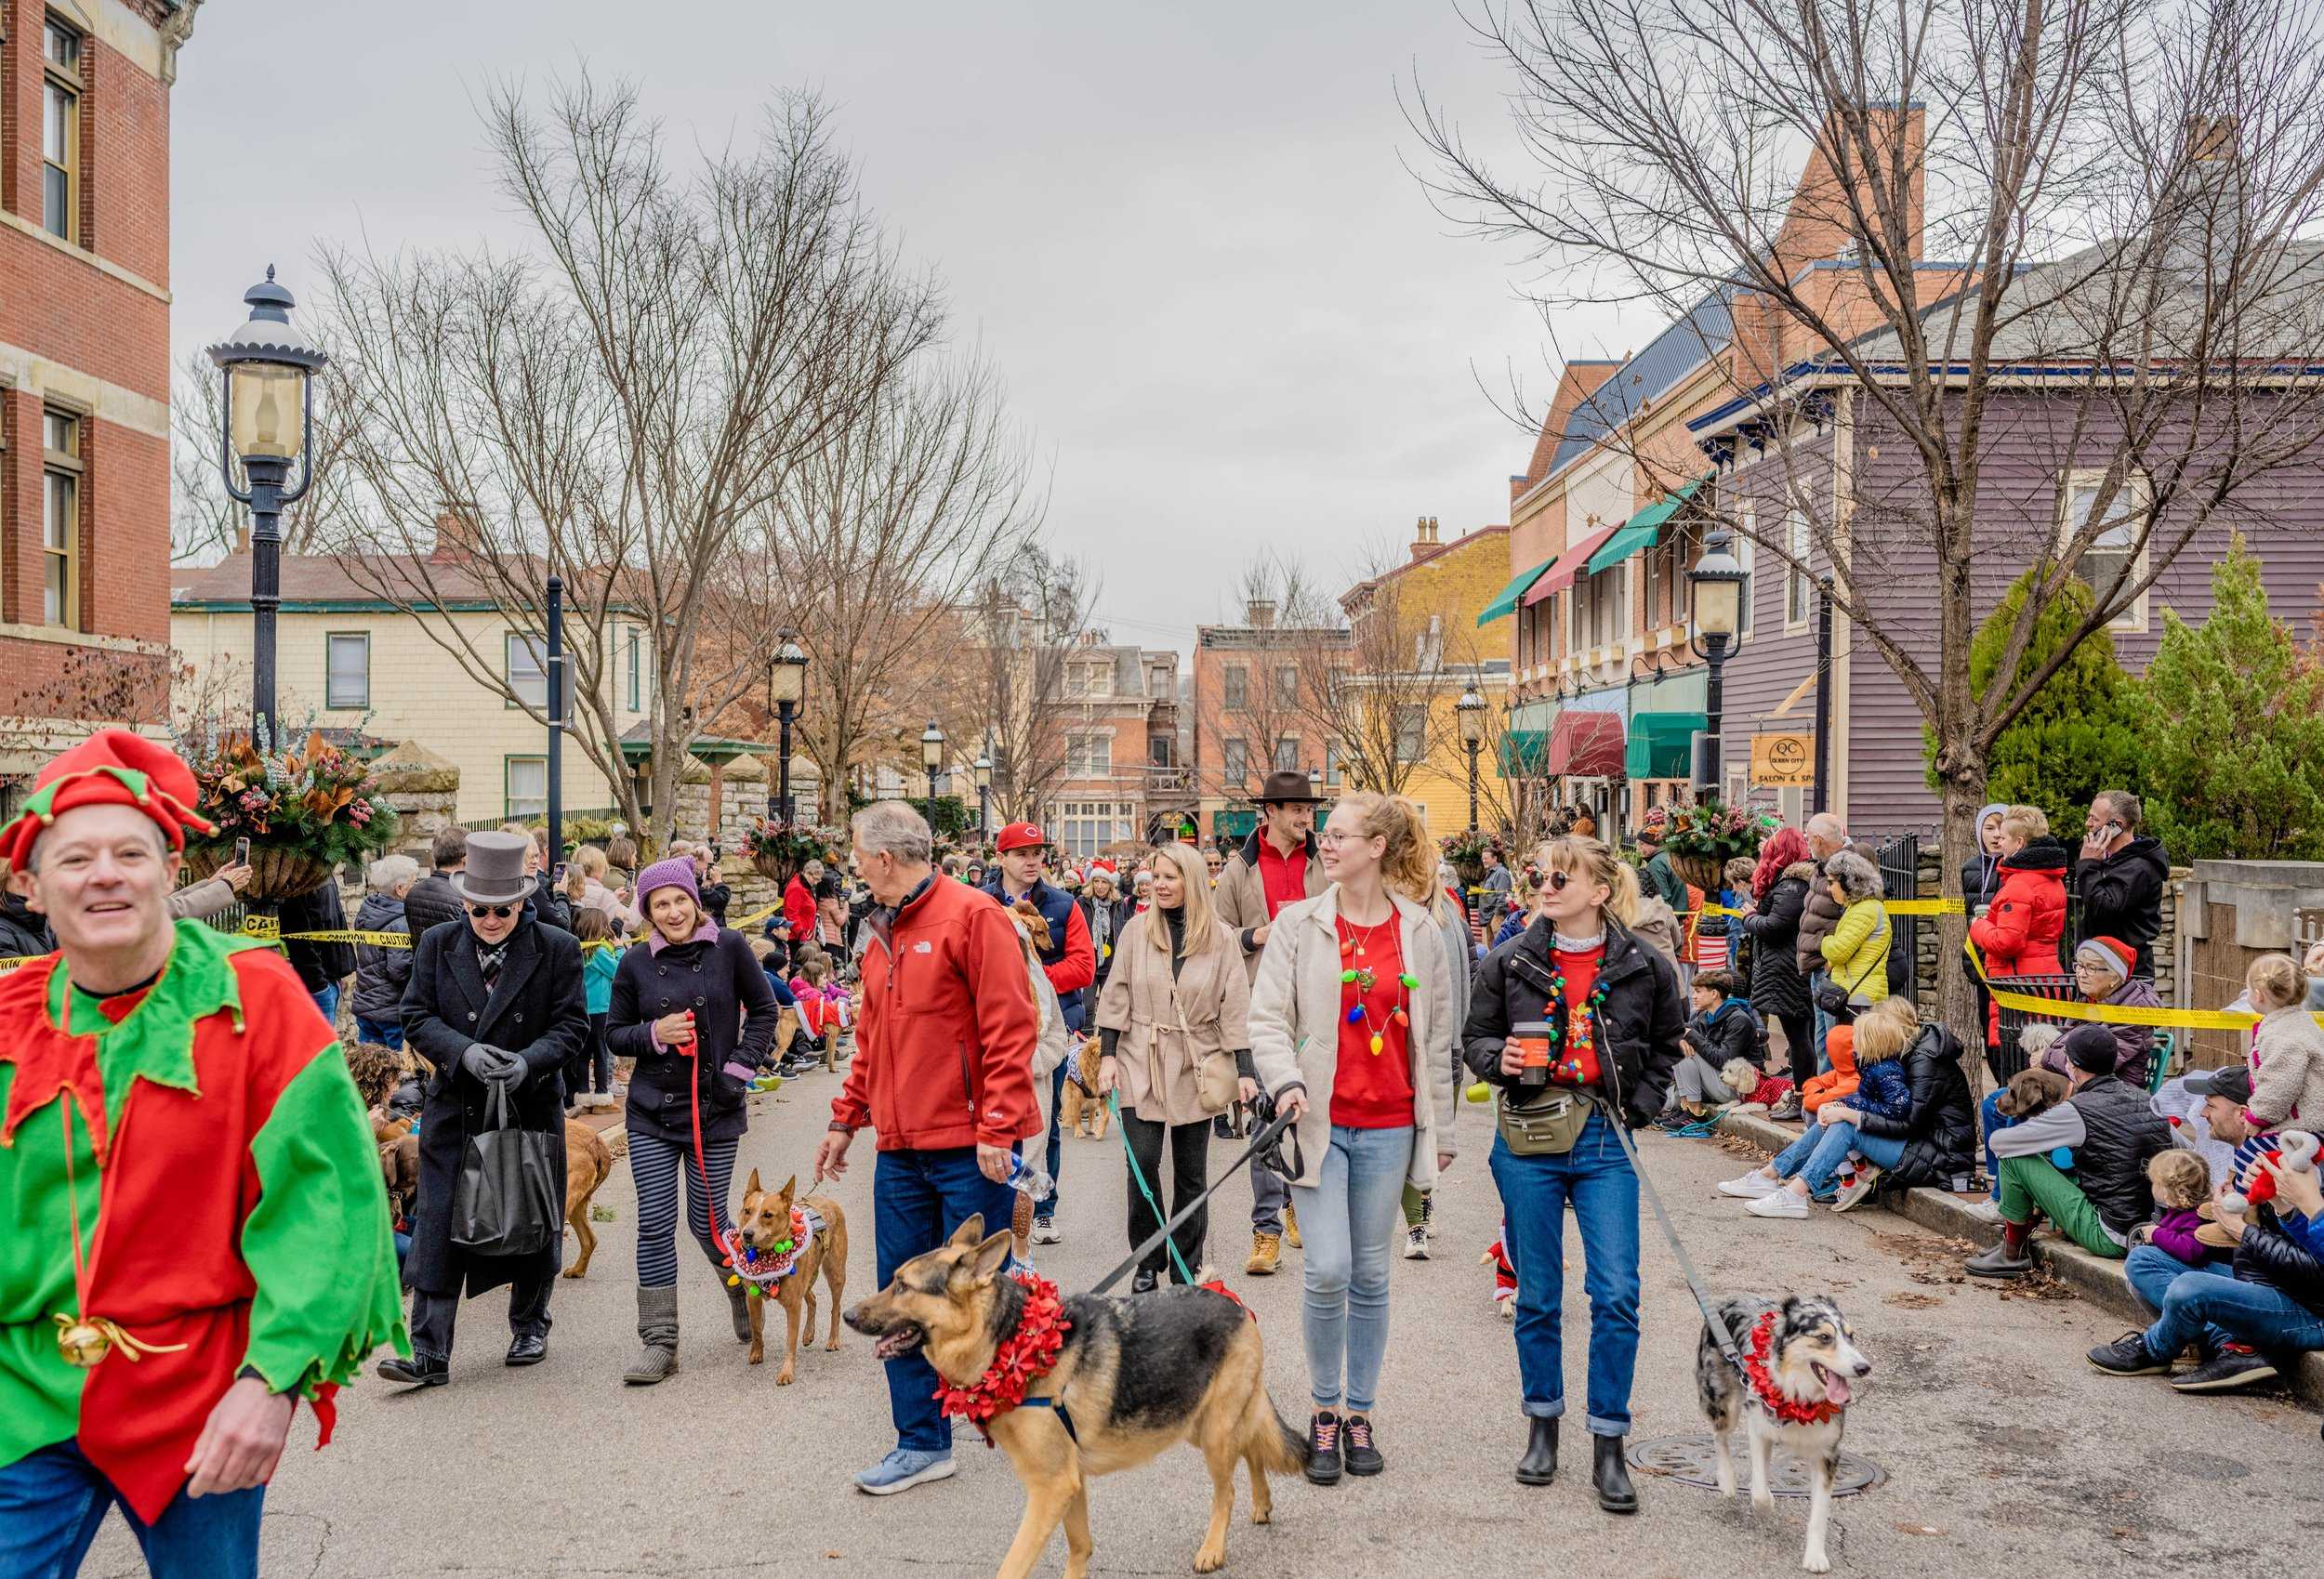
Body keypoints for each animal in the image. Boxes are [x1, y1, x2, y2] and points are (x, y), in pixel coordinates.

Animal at [730, 1170, 851, 1384]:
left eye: (767, 1215)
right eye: (747, 1211)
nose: (747, 1234)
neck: (765, 1255)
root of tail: (828, 1200)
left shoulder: (793, 1306)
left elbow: (790, 1341)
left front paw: (786, 1372)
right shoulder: (752, 1298)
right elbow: (756, 1328)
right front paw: (756, 1353)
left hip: (835, 1272)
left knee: (835, 1308)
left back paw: (833, 1340)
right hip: (806, 1277)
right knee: (812, 1299)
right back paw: (808, 1333)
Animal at [851, 1217, 1311, 1570]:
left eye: (903, 1286)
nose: (848, 1315)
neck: (1009, 1342)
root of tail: (1231, 1301)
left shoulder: (1051, 1488)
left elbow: (1013, 1564)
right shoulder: (1068, 1485)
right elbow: (1080, 1547)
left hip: (1212, 1432)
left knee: (1227, 1489)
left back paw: (1213, 1549)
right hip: (1192, 1420)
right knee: (1251, 1448)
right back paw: (1262, 1503)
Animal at [1710, 1291, 1868, 1570]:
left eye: (1852, 1336)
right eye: (1824, 1337)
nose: (1864, 1367)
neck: (1799, 1393)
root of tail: (1731, 1299)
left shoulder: (1828, 1453)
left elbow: (1819, 1514)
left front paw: (1815, 1556)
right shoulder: (1759, 1426)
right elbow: (1759, 1490)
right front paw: (1765, 1503)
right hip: (1724, 1404)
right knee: (1720, 1437)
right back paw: (1727, 1480)